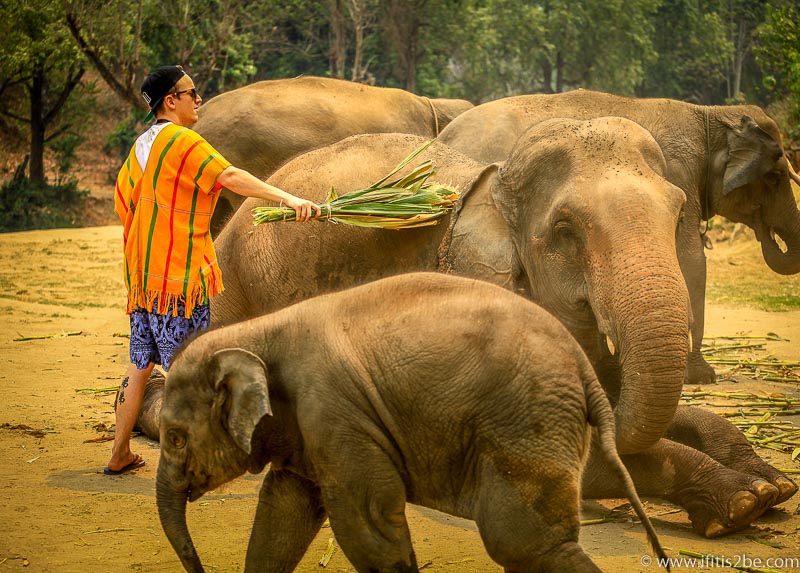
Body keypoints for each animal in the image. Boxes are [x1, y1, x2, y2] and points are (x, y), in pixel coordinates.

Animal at [158, 272, 668, 572]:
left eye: (176, 439)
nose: (198, 567)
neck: (257, 331)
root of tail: (584, 368)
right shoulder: (306, 428)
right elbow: (282, 515)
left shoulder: (336, 412)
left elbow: (367, 524)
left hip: (527, 422)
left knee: (523, 542)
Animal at [438, 90, 800, 384]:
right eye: (775, 177)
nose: (769, 236)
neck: (710, 115)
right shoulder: (679, 170)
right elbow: (692, 261)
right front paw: (702, 376)